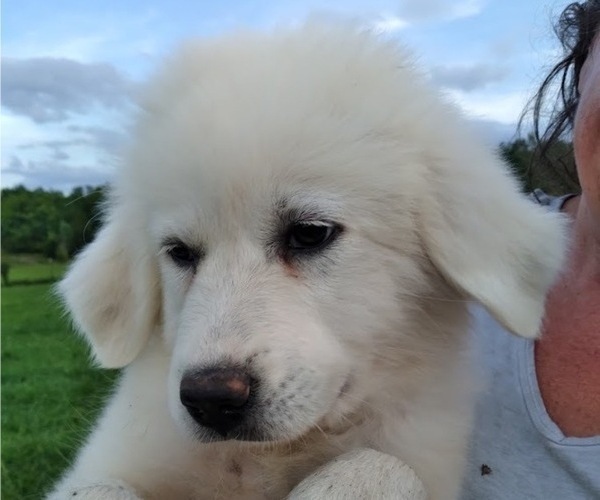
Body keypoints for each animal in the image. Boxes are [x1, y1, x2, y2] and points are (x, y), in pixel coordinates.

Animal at [48, 24, 568, 500]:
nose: (210, 399)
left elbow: (379, 464)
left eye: (310, 233)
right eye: (179, 252)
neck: (270, 456)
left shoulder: (419, 448)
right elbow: (96, 488)